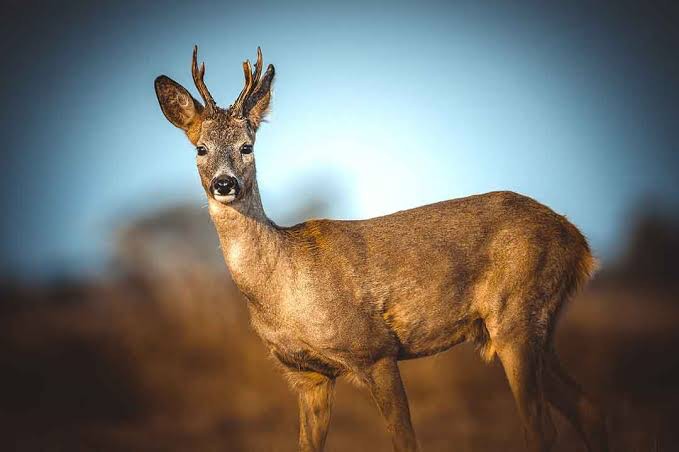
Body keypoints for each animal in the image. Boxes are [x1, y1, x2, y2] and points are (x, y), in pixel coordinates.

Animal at [155, 46, 612, 452]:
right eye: (201, 148)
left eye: (247, 147)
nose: (225, 183)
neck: (282, 285)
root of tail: (577, 240)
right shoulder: (307, 375)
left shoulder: (374, 349)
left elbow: (406, 441)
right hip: (539, 327)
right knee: (588, 406)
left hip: (516, 315)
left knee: (541, 427)